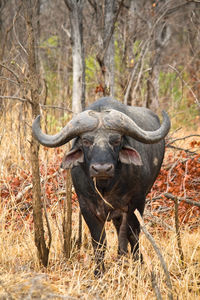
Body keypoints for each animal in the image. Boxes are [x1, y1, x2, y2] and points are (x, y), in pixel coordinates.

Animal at [32, 97, 170, 276]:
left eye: (116, 140)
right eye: (86, 141)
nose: (102, 168)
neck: (106, 186)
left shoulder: (137, 202)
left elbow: (133, 234)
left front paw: (138, 263)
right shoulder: (86, 206)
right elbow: (99, 241)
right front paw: (99, 272)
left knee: (124, 231)